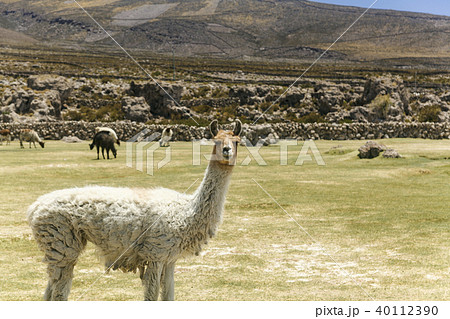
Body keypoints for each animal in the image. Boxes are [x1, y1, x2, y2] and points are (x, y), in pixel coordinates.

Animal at [28, 119, 243, 300]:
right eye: (216, 140)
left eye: (237, 141)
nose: (226, 151)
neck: (185, 212)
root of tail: (34, 207)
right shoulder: (155, 252)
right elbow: (152, 296)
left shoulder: (169, 258)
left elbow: (169, 296)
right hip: (61, 242)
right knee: (59, 291)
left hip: (60, 247)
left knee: (49, 290)